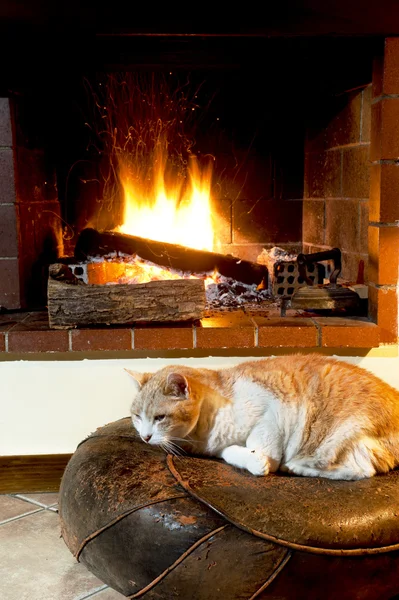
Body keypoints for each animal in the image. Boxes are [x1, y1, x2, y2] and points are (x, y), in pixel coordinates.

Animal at [126, 354, 399, 480]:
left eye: (160, 417)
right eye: (137, 416)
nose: (145, 437)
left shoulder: (272, 412)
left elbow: (261, 443)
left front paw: (266, 462)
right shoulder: (219, 449)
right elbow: (230, 453)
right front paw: (253, 459)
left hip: (339, 438)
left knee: (361, 471)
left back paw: (294, 466)